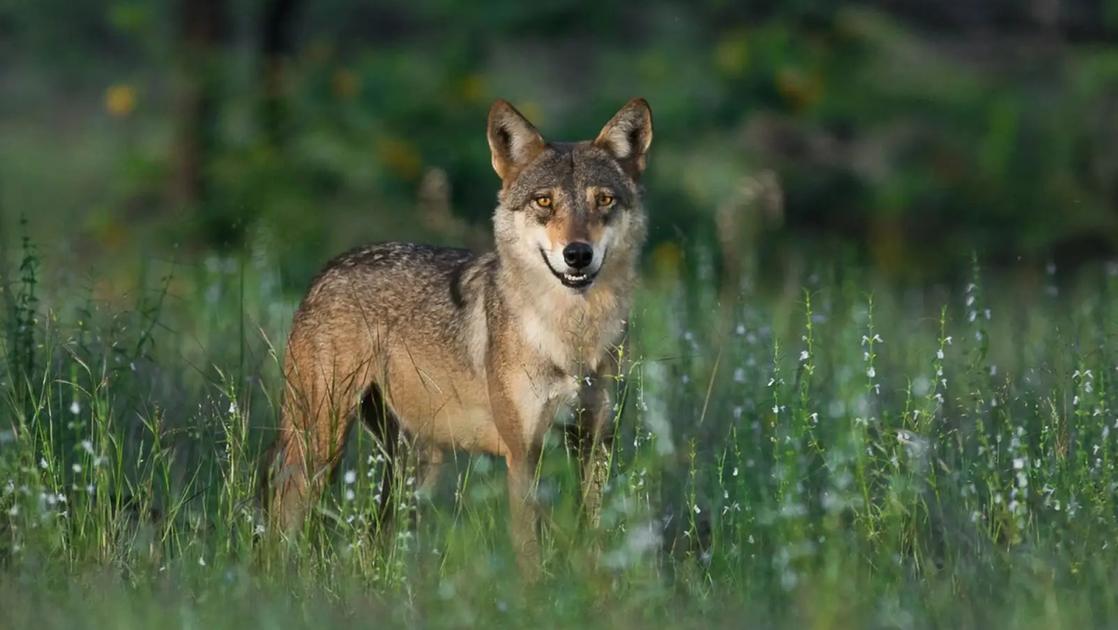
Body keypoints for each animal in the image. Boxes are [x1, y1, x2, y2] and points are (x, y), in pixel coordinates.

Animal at [268, 96, 652, 567]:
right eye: (544, 201)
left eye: (604, 200)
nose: (577, 254)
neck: (572, 337)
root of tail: (328, 268)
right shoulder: (522, 454)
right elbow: (530, 554)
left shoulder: (594, 443)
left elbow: (594, 538)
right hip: (319, 447)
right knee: (281, 520)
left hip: (415, 466)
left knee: (378, 536)